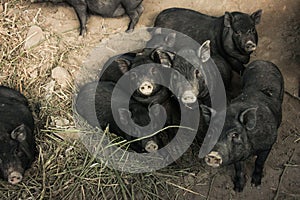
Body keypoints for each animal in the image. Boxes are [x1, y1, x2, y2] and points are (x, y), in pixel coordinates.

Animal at [202, 60, 284, 191]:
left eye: (235, 134)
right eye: (212, 132)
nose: (213, 154)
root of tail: (263, 61)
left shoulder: (268, 145)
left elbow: (259, 163)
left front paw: (255, 185)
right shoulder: (237, 155)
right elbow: (239, 168)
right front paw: (238, 189)